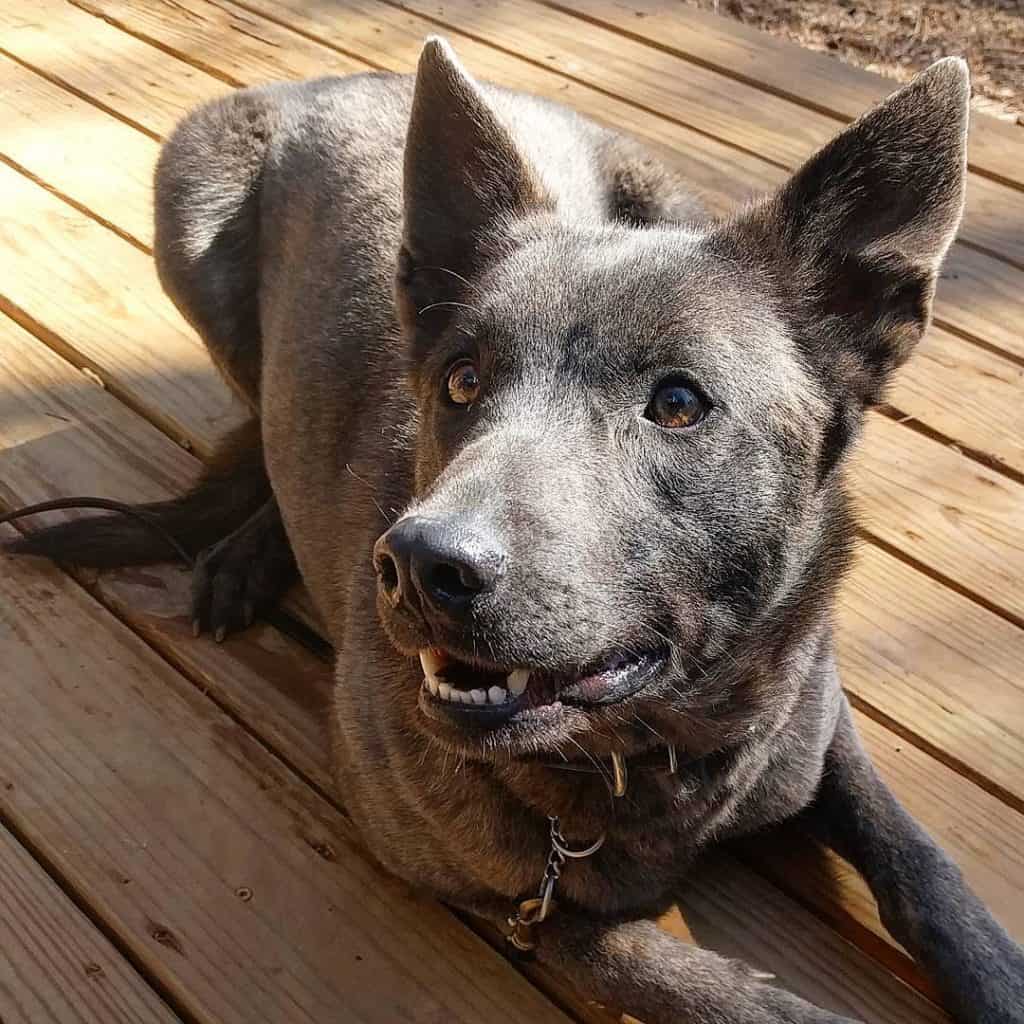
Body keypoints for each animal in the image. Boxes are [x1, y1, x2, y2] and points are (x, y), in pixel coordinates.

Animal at [9, 36, 1024, 1019]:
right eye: (461, 380)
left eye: (679, 404)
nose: (419, 566)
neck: (650, 757)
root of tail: (352, 76)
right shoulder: (498, 890)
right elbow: (654, 967)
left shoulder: (816, 708)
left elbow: (915, 854)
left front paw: (996, 971)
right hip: (192, 212)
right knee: (262, 424)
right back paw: (247, 556)